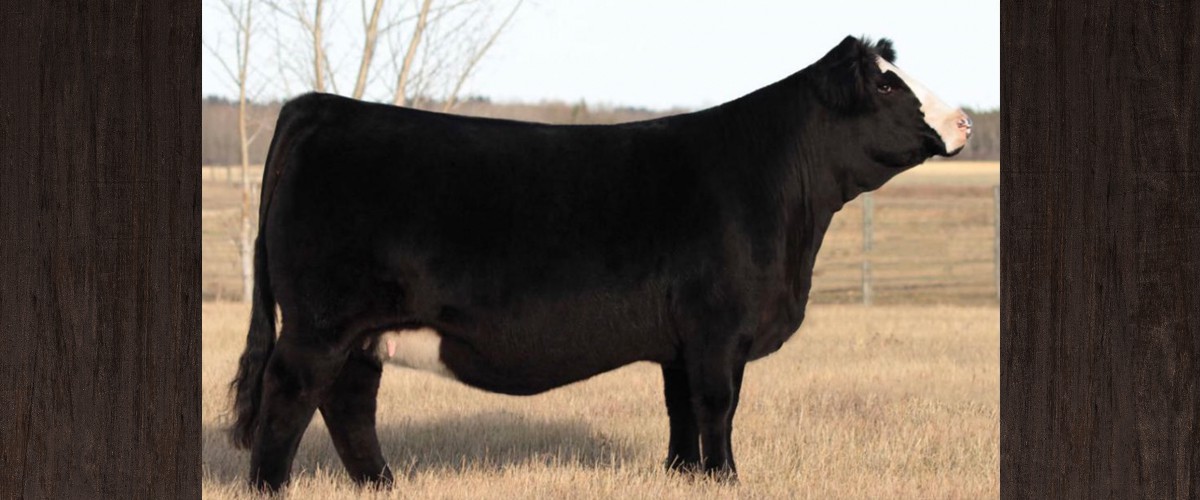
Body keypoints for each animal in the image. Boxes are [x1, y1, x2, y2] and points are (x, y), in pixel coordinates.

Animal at [229, 35, 971, 492]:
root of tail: (321, 106)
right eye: (886, 87)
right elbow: (718, 405)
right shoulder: (718, 329)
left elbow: (681, 410)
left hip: (362, 330)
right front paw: (727, 478)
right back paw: (273, 489)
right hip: (318, 323)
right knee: (289, 397)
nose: (964, 120)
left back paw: (385, 486)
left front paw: (685, 477)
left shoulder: (681, 341)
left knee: (349, 403)